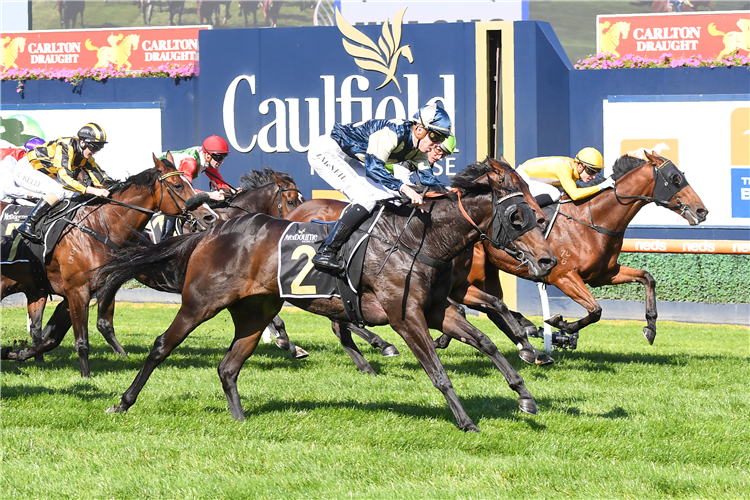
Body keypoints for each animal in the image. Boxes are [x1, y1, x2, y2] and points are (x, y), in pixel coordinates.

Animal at [0, 156, 214, 376]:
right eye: (178, 185)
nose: (209, 216)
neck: (96, 227)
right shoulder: (77, 291)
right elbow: (81, 339)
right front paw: (85, 376)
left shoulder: (87, 290)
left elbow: (53, 337)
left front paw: (15, 353)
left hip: (33, 288)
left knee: (36, 328)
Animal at [92, 160, 560, 430]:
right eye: (519, 216)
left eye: (537, 213)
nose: (547, 260)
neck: (418, 239)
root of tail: (212, 231)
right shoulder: (404, 315)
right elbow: (437, 370)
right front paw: (465, 421)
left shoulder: (435, 309)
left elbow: (484, 341)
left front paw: (525, 394)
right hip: (201, 303)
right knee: (160, 346)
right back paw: (122, 403)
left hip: (255, 312)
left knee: (228, 366)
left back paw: (241, 420)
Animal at [434, 150, 712, 350]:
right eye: (675, 179)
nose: (702, 211)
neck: (594, 219)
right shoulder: (563, 276)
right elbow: (595, 310)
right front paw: (561, 326)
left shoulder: (604, 274)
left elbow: (647, 278)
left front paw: (650, 328)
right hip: (475, 271)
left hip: (488, 272)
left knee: (490, 303)